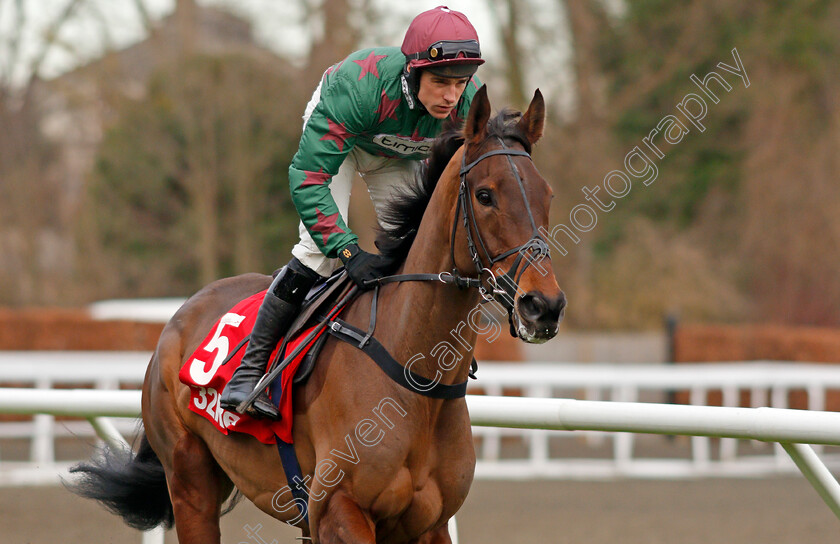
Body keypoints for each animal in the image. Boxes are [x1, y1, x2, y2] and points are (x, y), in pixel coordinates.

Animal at [70, 87, 564, 540]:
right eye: (485, 195)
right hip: (190, 480)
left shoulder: (428, 524)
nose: (544, 305)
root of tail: (178, 318)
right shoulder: (339, 510)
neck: (415, 377)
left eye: (548, 195)